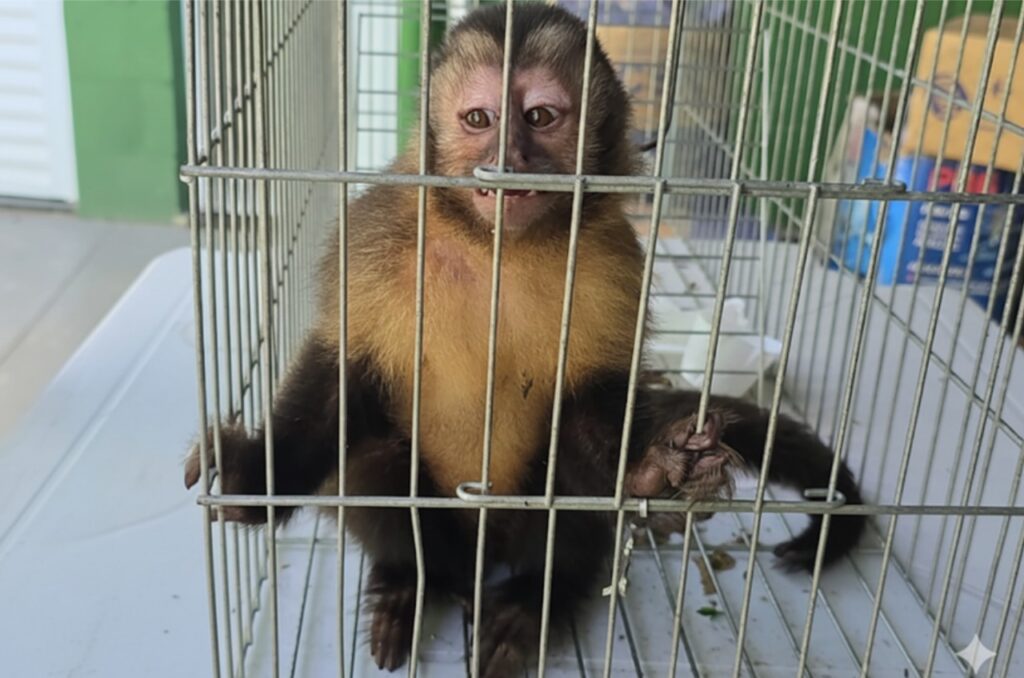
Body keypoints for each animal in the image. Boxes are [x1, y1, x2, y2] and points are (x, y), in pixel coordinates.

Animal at [184, 4, 865, 675]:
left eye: (539, 116)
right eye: (479, 119)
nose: (506, 156)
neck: (496, 249)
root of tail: (481, 557)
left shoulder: (613, 263)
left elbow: (595, 400)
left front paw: (650, 472)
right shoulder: (374, 239)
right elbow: (341, 378)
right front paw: (253, 479)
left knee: (566, 479)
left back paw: (538, 597)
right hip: (444, 534)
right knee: (373, 458)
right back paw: (409, 581)